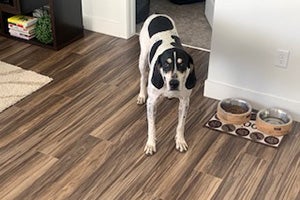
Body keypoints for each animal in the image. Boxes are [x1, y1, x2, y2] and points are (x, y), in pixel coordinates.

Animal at [137, 14, 197, 155]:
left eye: (182, 64)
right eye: (166, 64)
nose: (174, 83)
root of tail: (157, 14)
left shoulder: (184, 102)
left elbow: (181, 125)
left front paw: (180, 141)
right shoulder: (151, 102)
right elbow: (151, 126)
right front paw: (151, 143)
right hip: (142, 59)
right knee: (143, 77)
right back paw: (141, 95)